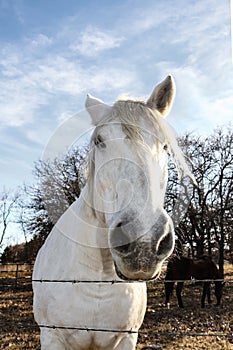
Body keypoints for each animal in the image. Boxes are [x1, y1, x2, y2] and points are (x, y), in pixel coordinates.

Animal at [32, 75, 195, 348]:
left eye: (164, 146)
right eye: (100, 140)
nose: (143, 242)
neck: (99, 279)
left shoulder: (127, 337)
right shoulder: (52, 336)